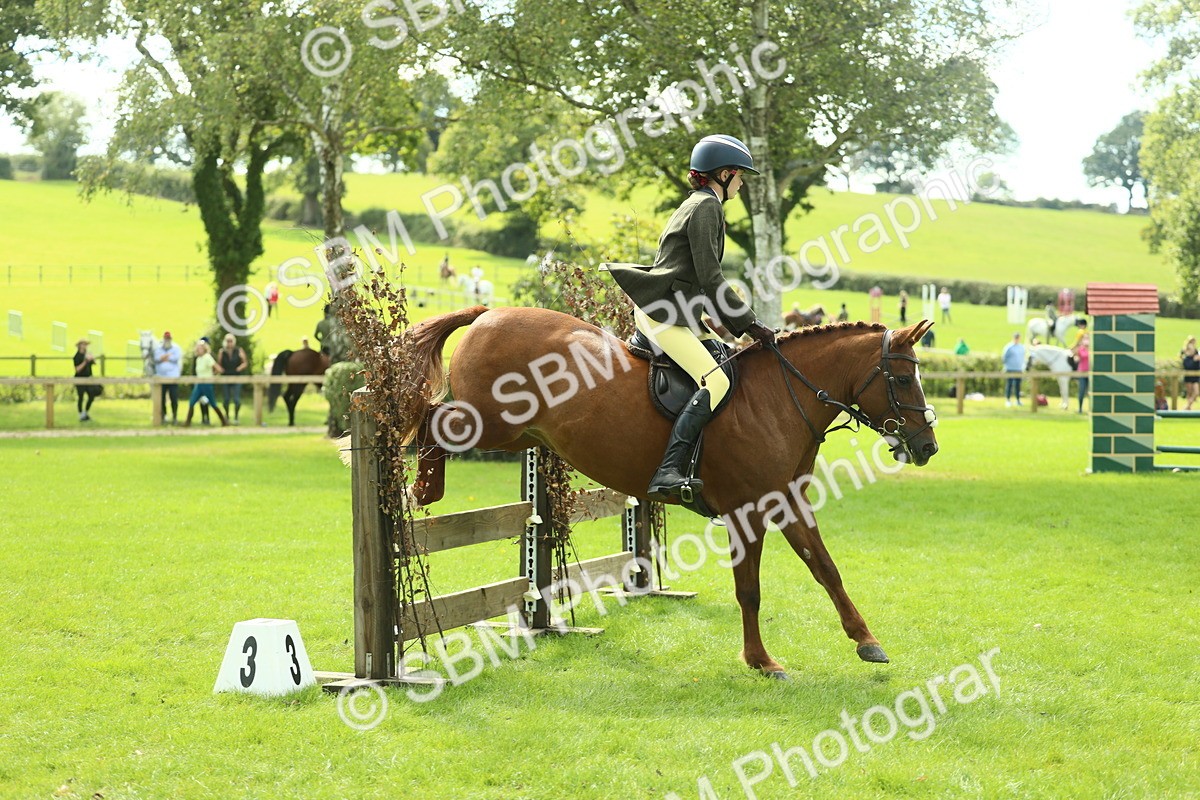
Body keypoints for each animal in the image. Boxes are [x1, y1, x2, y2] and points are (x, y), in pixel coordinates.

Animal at [400, 307, 939, 679]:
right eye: (903, 378)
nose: (927, 447)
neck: (782, 397)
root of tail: (487, 314)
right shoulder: (748, 511)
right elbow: (750, 590)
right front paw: (761, 661)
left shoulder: (788, 501)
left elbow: (826, 568)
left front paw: (867, 641)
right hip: (489, 424)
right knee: (430, 420)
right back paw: (420, 489)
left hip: (518, 436)